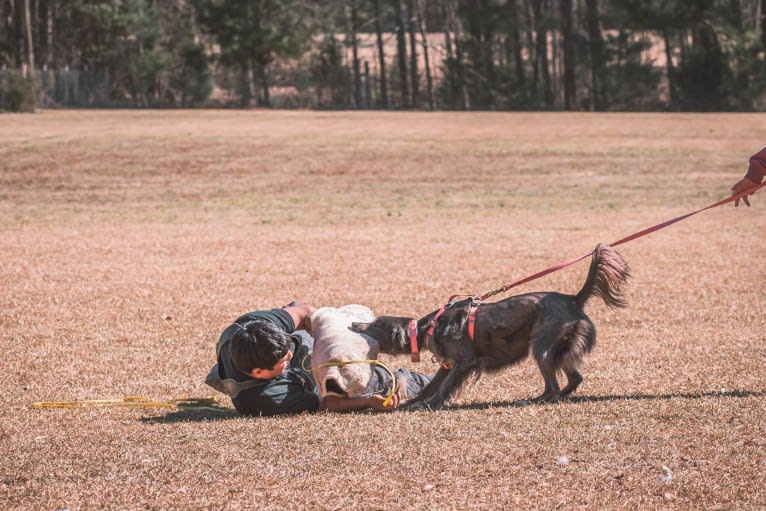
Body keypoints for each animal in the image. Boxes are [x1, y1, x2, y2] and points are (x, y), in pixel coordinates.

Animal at [352, 244, 632, 412]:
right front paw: (414, 401)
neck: (429, 326)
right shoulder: (448, 364)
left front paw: (431, 404)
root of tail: (573, 299)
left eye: (375, 324)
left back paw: (533, 400)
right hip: (561, 349)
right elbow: (432, 385)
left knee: (552, 385)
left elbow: (443, 387)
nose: (354, 324)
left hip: (542, 346)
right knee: (574, 379)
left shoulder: (464, 362)